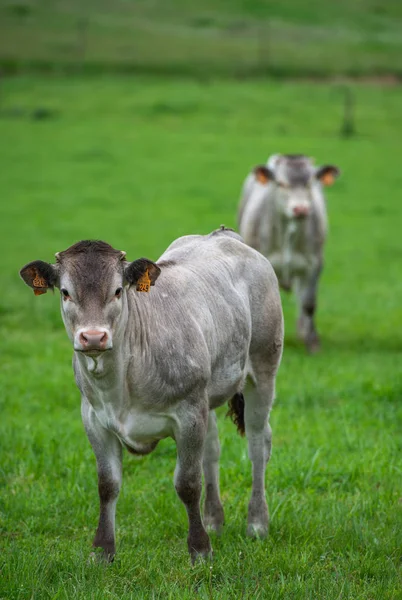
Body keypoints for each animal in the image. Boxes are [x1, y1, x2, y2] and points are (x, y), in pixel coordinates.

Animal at [18, 227, 282, 560]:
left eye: (118, 291)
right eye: (65, 292)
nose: (93, 336)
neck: (121, 385)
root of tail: (223, 235)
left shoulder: (188, 414)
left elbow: (188, 483)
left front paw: (199, 549)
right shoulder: (93, 419)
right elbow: (107, 484)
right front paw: (102, 551)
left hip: (262, 369)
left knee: (259, 444)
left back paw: (257, 523)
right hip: (207, 396)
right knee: (211, 450)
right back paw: (213, 520)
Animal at [237, 152, 340, 354]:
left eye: (309, 183)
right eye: (281, 183)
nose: (300, 209)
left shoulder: (314, 264)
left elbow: (308, 303)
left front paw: (312, 342)